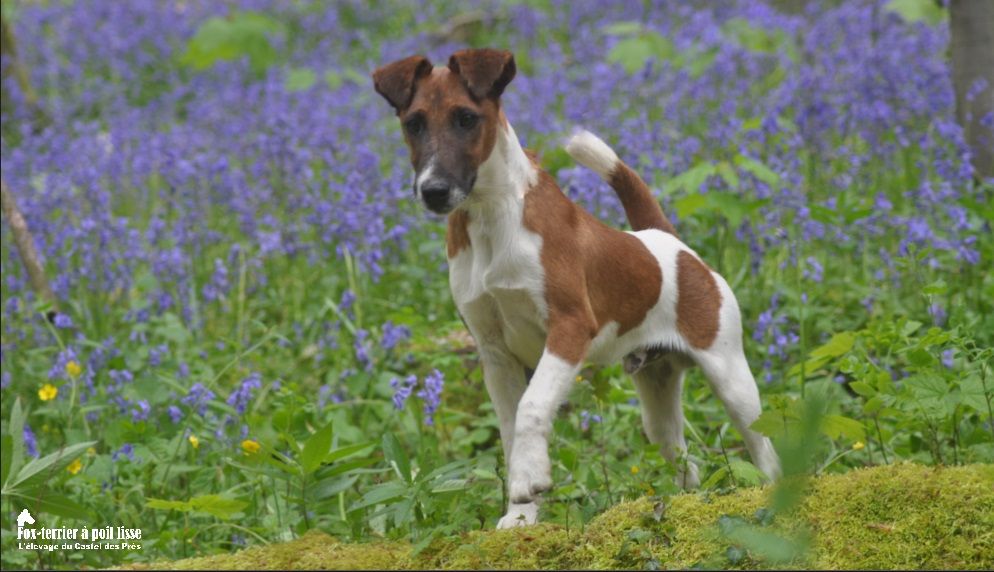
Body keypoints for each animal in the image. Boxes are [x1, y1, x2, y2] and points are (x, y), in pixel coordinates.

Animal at [370, 48, 776, 528]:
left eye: (466, 118)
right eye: (413, 123)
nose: (433, 190)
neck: (492, 218)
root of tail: (670, 242)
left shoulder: (569, 328)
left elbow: (531, 409)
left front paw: (531, 479)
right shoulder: (495, 354)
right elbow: (510, 432)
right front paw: (520, 515)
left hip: (732, 380)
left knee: (765, 448)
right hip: (656, 395)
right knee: (684, 458)